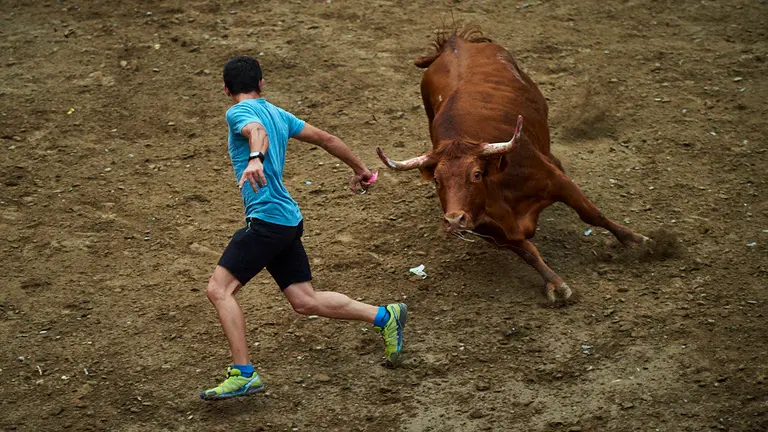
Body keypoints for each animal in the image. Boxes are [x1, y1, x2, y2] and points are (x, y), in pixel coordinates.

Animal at [376, 27, 648, 303]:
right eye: (436, 180)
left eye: (476, 174)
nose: (454, 221)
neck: (499, 190)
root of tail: (453, 43)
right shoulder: (491, 229)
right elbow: (527, 251)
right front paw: (555, 284)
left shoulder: (557, 182)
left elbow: (592, 214)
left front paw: (635, 240)